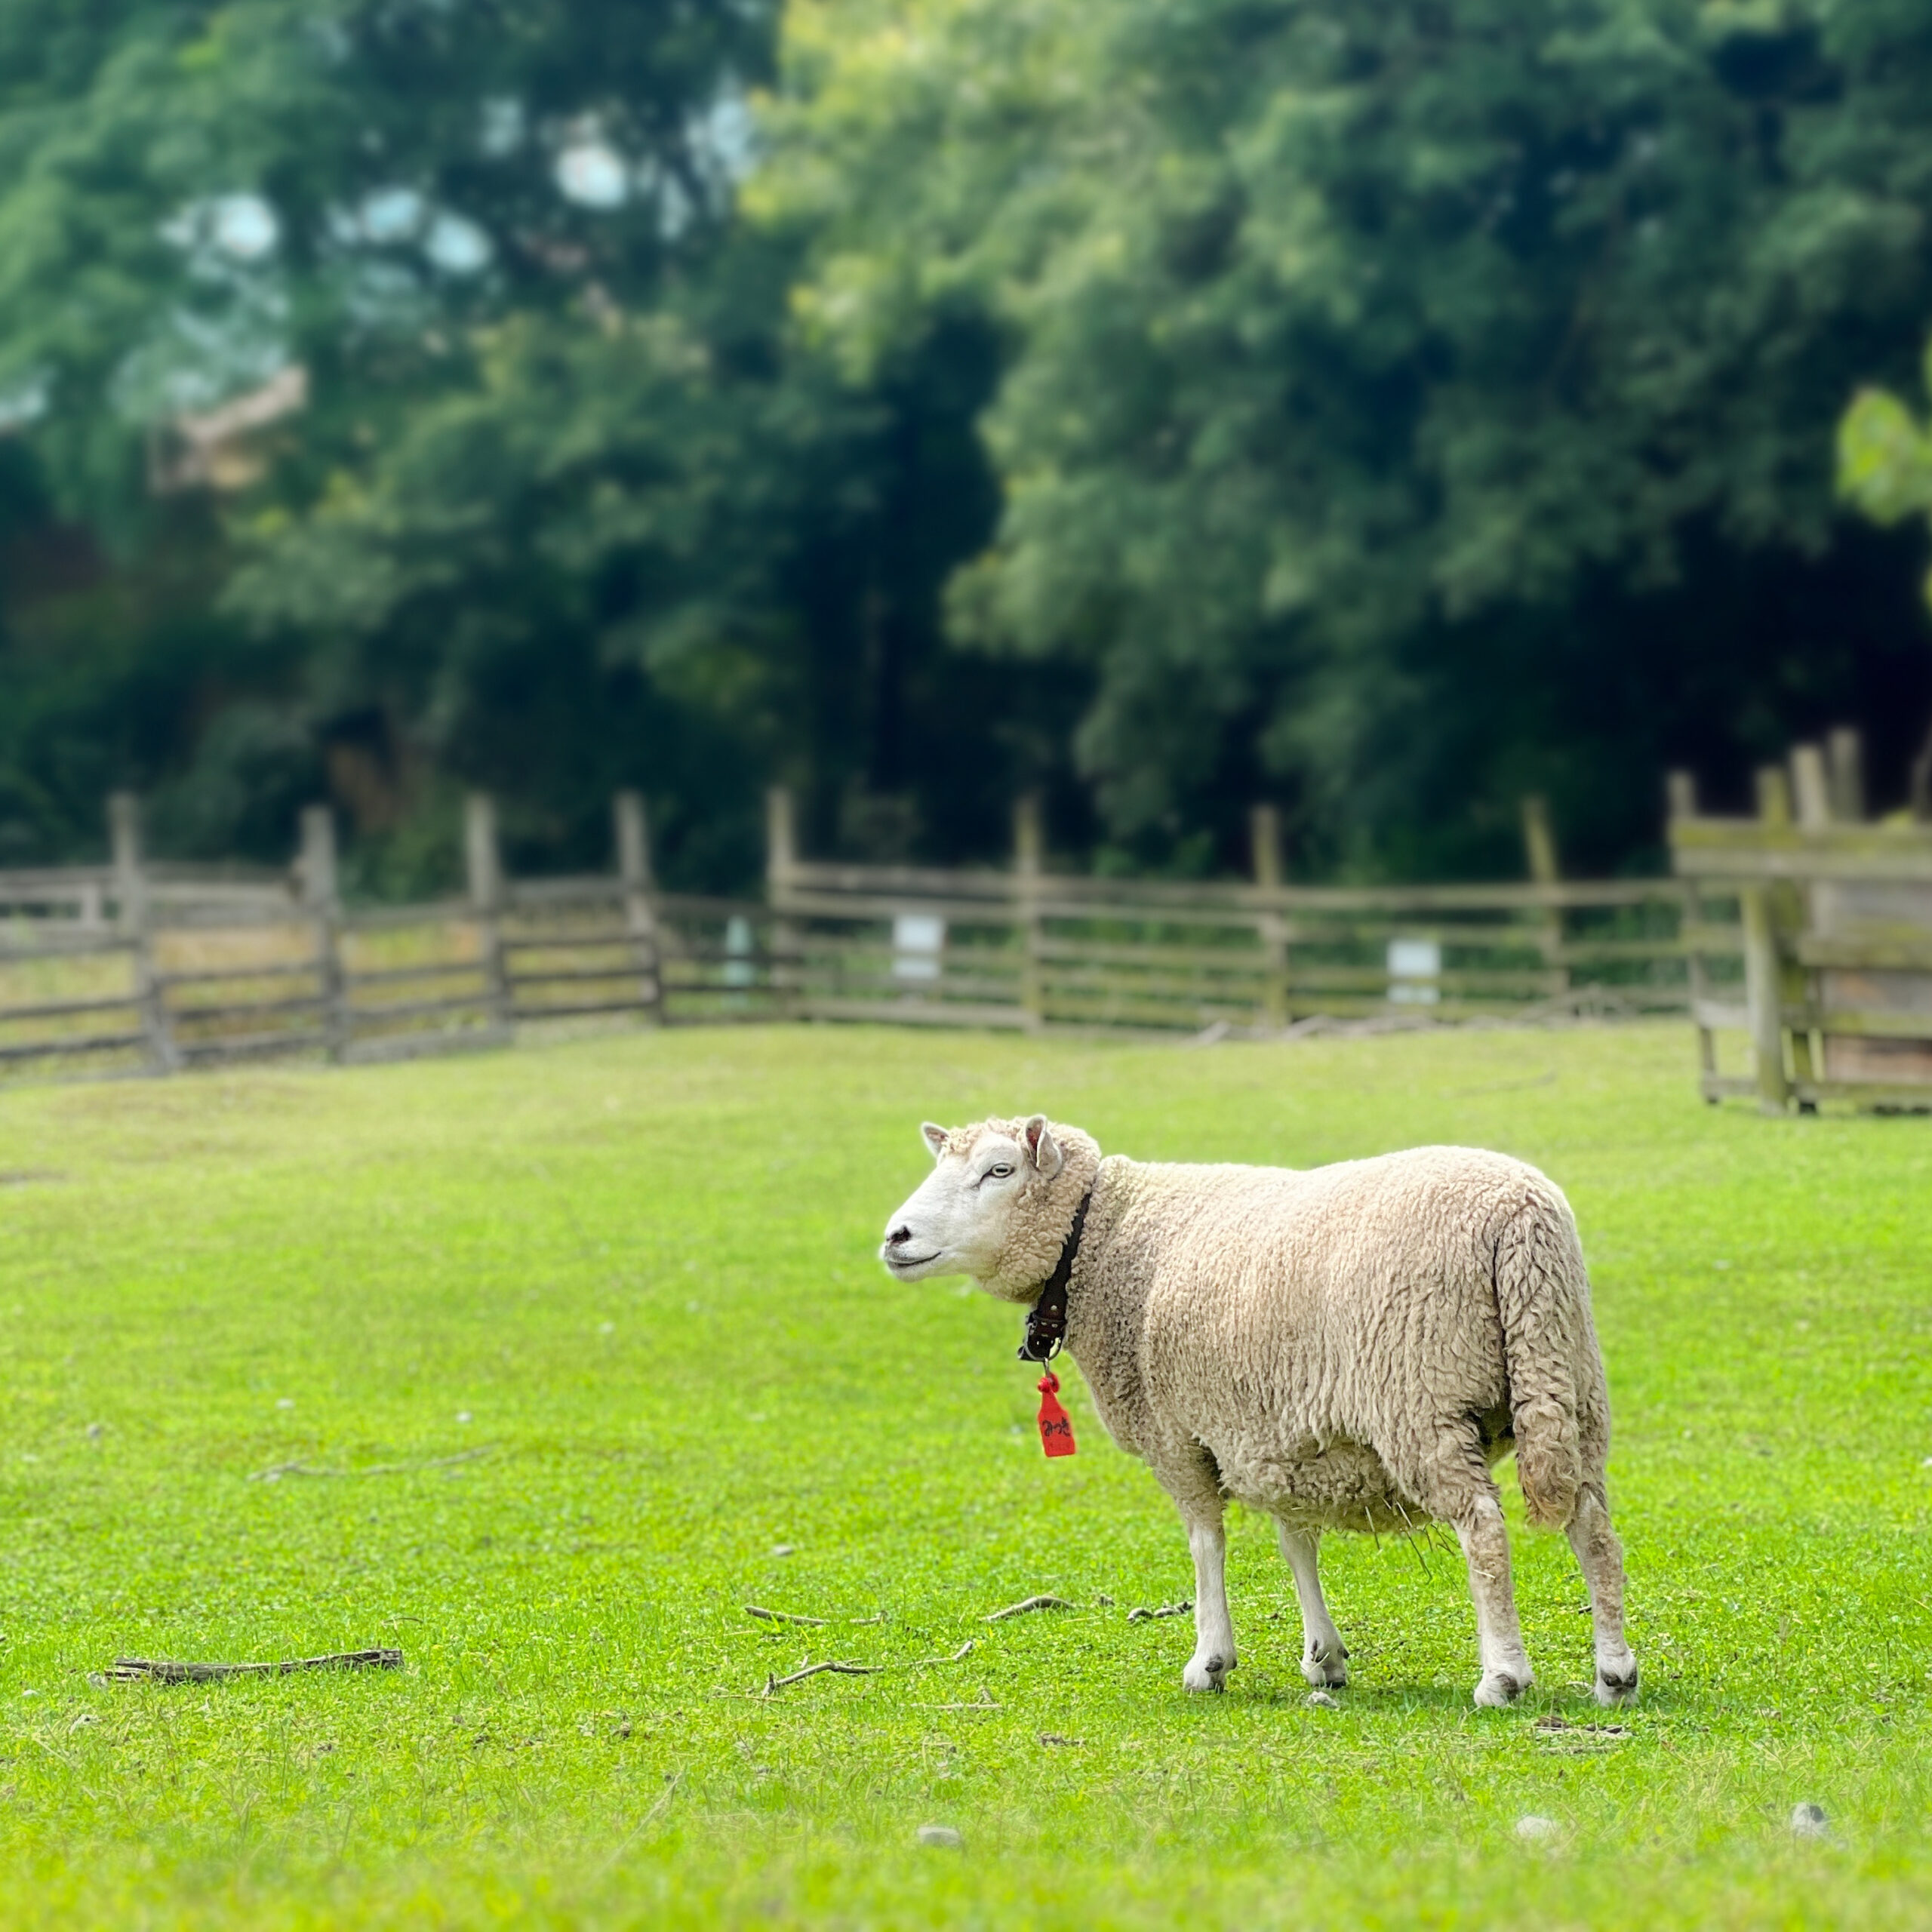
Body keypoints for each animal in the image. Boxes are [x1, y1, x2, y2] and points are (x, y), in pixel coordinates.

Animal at [884, 1120, 1638, 1708]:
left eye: (999, 1169)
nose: (895, 1237)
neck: (1107, 1238)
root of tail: (1520, 1216)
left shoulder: (1175, 1431)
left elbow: (1205, 1542)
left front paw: (1210, 1659)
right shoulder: (1271, 1425)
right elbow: (1294, 1538)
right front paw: (1323, 1656)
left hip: (1423, 1398)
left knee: (1482, 1527)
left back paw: (1503, 1676)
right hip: (1567, 1380)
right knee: (1592, 1526)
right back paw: (1614, 1673)